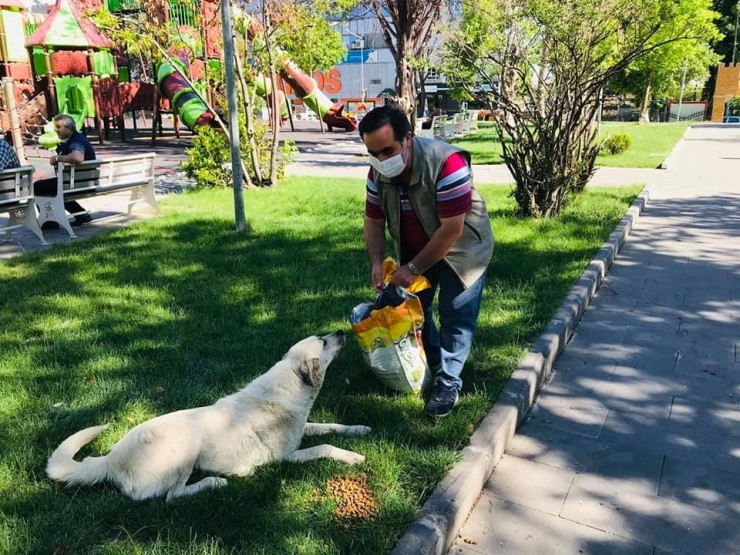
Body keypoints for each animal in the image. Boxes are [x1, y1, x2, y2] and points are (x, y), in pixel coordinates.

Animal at [46, 332, 370, 502]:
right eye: (324, 342)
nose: (341, 331)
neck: (287, 386)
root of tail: (111, 460)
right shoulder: (288, 457)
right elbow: (324, 446)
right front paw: (353, 456)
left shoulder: (304, 427)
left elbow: (332, 426)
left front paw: (360, 428)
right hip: (187, 445)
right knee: (172, 495)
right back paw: (216, 481)